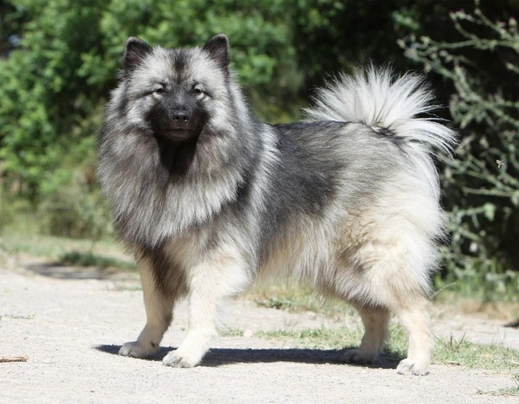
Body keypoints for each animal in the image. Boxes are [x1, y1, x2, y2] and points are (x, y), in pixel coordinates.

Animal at [96, 34, 456, 376]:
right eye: (160, 90)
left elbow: (199, 311)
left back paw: (417, 362)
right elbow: (155, 309)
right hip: (342, 270)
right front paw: (144, 346)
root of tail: (387, 135)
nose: (180, 115)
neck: (173, 167)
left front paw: (186, 354)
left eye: (198, 92)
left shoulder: (211, 260)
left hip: (378, 260)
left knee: (416, 309)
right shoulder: (151, 258)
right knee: (377, 312)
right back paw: (364, 353)